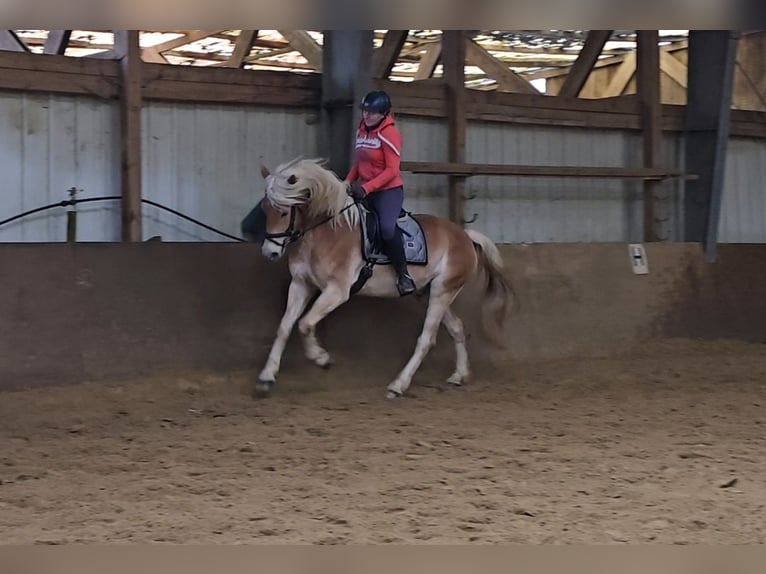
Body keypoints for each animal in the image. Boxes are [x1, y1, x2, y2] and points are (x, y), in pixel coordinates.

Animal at [243, 158, 512, 400]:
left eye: (283, 211)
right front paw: (266, 378)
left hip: (442, 290)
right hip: (429, 292)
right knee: (456, 328)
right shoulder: (301, 284)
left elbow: (305, 324)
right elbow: (284, 327)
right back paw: (459, 376)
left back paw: (398, 385)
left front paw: (322, 359)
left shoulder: (337, 291)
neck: (326, 231)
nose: (270, 252)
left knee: (426, 339)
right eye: (265, 208)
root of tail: (465, 236)